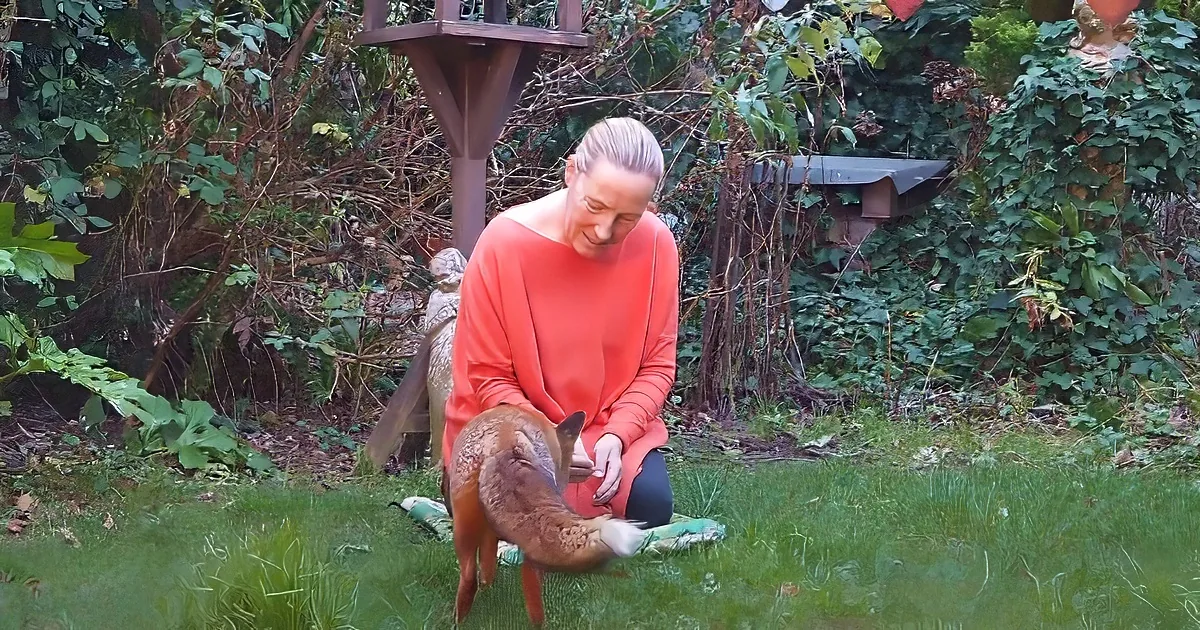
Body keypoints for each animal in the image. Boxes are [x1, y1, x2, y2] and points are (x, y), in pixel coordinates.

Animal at [446, 402, 646, 627]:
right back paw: (540, 624)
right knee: (530, 580)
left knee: (469, 577)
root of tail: (505, 439)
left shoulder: (489, 533)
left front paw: (487, 590)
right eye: (567, 464)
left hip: (463, 528)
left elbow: (487, 569)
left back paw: (459, 621)